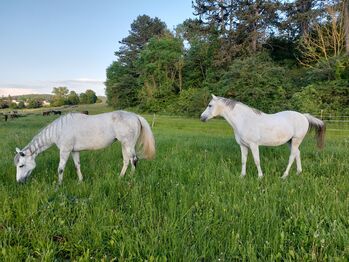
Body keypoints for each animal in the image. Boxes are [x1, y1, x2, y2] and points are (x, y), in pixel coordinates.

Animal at [13, 111, 155, 183]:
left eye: (21, 165)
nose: (19, 181)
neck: (60, 129)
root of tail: (135, 116)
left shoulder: (65, 151)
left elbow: (60, 169)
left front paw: (59, 185)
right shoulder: (74, 151)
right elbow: (77, 166)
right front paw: (80, 181)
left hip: (128, 144)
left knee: (134, 160)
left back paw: (131, 178)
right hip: (124, 145)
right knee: (127, 161)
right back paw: (120, 177)